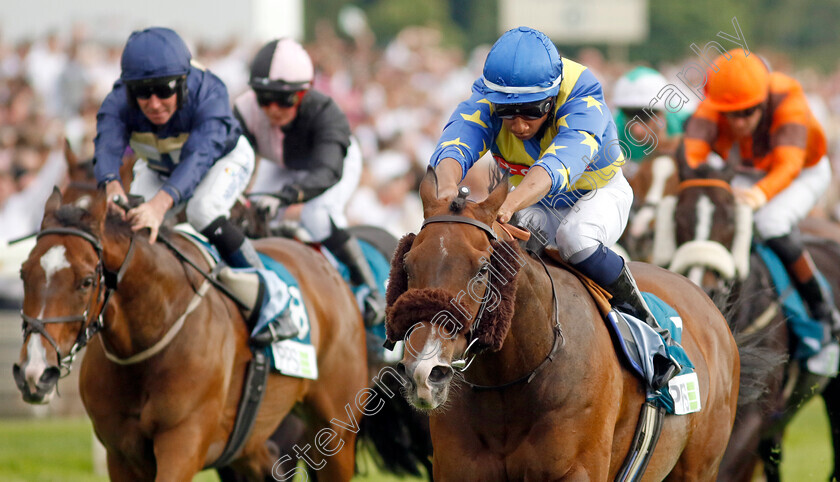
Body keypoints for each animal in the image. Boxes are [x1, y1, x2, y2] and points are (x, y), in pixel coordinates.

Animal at [12, 188, 368, 478]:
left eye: (87, 281)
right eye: (23, 273)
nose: (34, 372)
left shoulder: (183, 444)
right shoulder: (121, 454)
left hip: (335, 429)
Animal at [384, 168, 740, 480]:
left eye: (483, 269)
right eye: (407, 264)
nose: (424, 371)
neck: (510, 383)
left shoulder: (575, 470)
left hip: (699, 467)